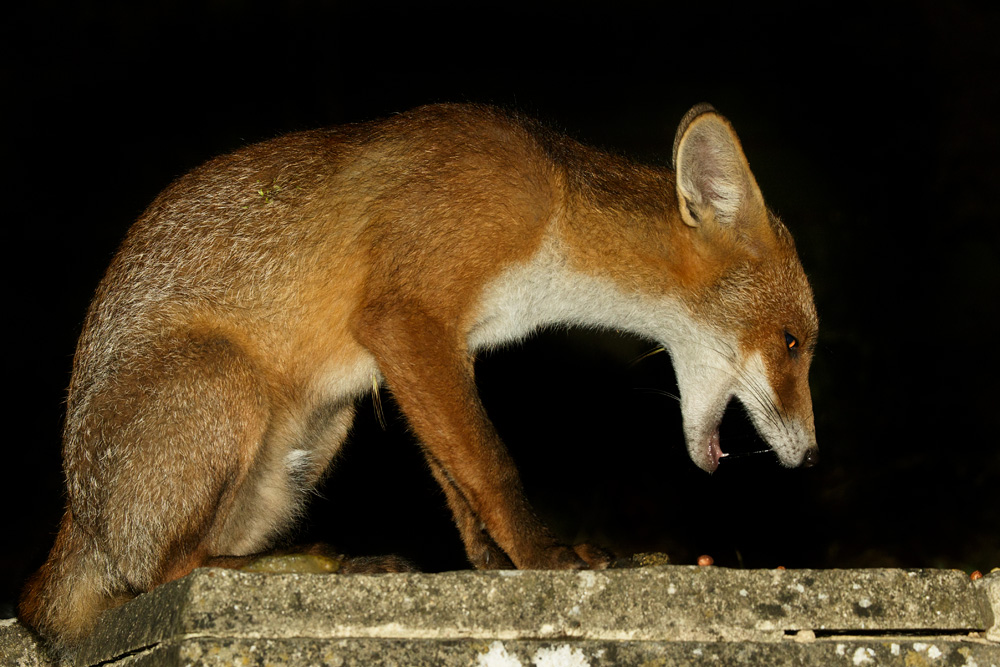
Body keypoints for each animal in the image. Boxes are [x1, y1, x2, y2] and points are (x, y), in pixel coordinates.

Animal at [20, 102, 818, 655]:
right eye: (793, 342)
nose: (810, 455)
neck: (554, 210)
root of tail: (76, 522)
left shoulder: (431, 352)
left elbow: (462, 487)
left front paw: (496, 568)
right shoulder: (405, 317)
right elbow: (494, 468)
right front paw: (546, 561)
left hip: (316, 433)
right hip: (225, 381)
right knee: (164, 573)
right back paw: (314, 565)